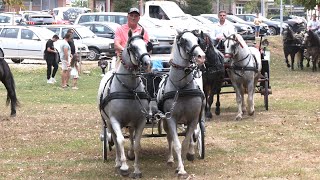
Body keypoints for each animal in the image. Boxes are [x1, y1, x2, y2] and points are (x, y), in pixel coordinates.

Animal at [97, 28, 151, 178]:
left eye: (147, 45)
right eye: (132, 47)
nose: (147, 63)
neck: (129, 89)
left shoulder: (140, 120)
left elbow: (137, 143)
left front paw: (137, 170)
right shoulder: (115, 120)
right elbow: (120, 140)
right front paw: (124, 167)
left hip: (130, 122)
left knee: (131, 136)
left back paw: (130, 154)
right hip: (108, 122)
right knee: (115, 139)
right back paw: (118, 162)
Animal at [157, 30, 205, 178]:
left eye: (198, 40)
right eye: (183, 41)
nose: (201, 56)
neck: (181, 88)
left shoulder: (193, 119)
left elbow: (186, 142)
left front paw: (185, 159)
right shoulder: (171, 119)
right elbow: (177, 144)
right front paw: (181, 169)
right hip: (166, 122)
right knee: (169, 138)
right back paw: (170, 159)